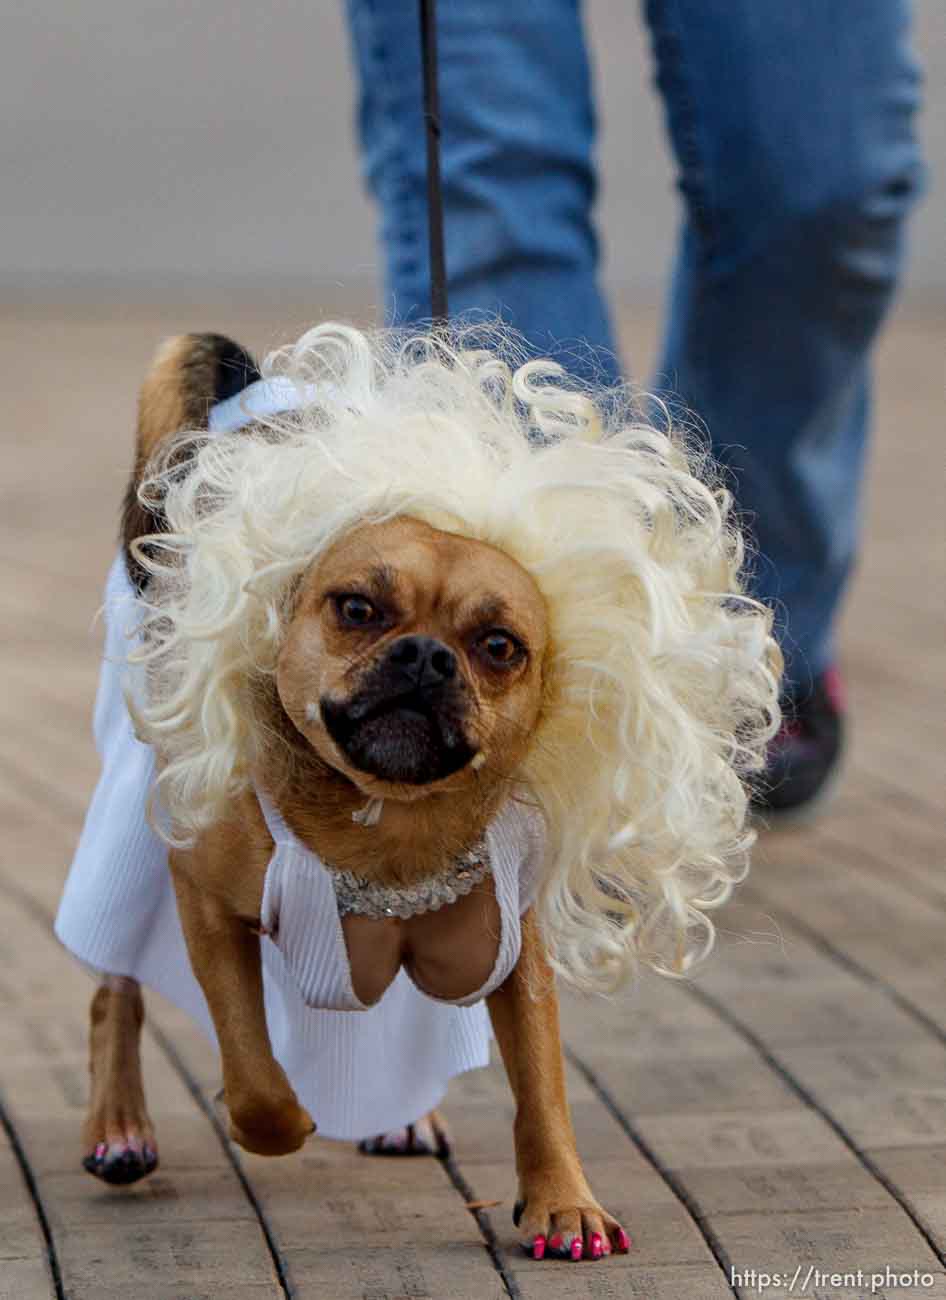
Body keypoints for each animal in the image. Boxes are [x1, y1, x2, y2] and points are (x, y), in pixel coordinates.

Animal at [61, 319, 784, 1263]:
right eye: (357, 609)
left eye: (500, 646)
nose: (427, 656)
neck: (384, 822)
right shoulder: (205, 901)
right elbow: (251, 1066)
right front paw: (281, 1119)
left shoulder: (512, 946)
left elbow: (541, 1087)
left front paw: (563, 1203)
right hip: (136, 827)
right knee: (115, 989)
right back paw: (119, 1129)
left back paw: (402, 1118)